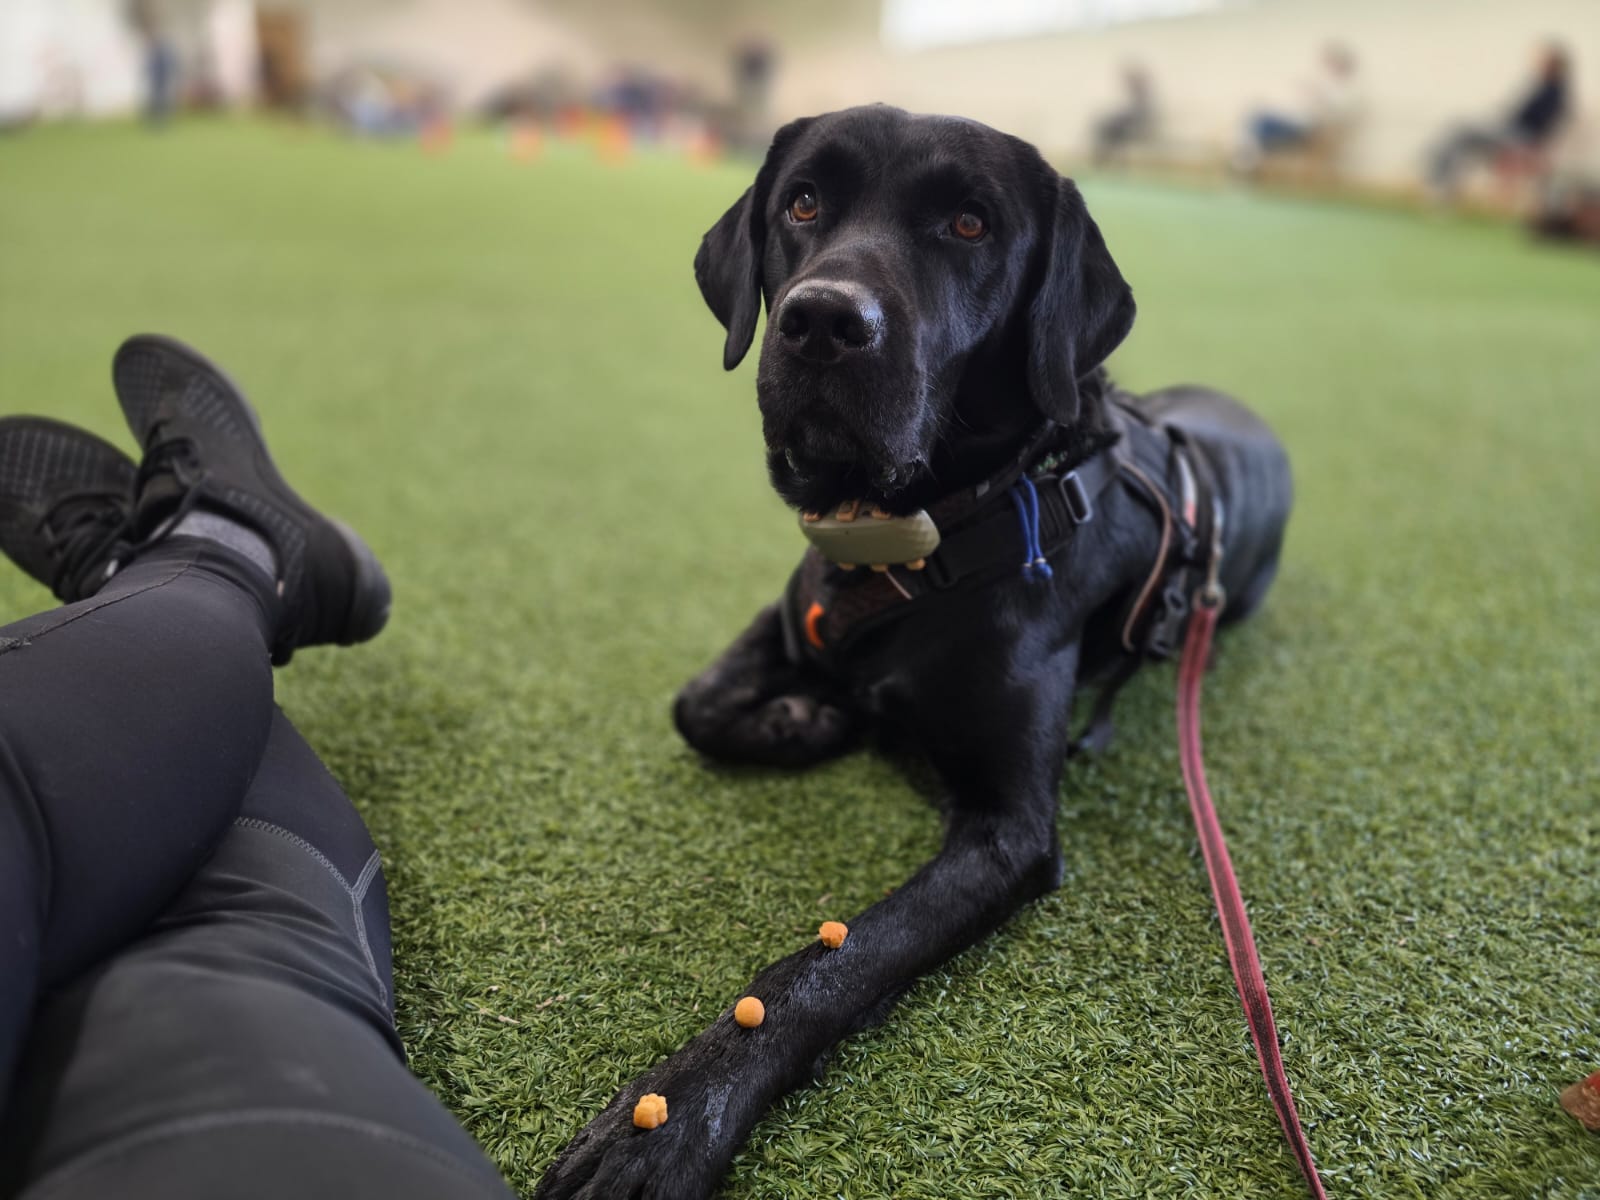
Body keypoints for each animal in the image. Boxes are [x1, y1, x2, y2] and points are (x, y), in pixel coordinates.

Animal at [536, 104, 1292, 1199]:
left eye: (970, 224)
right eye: (803, 201)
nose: (820, 321)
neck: (915, 541)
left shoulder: (1008, 829)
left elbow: (836, 959)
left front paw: (669, 1120)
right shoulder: (794, 610)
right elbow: (697, 702)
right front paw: (803, 719)